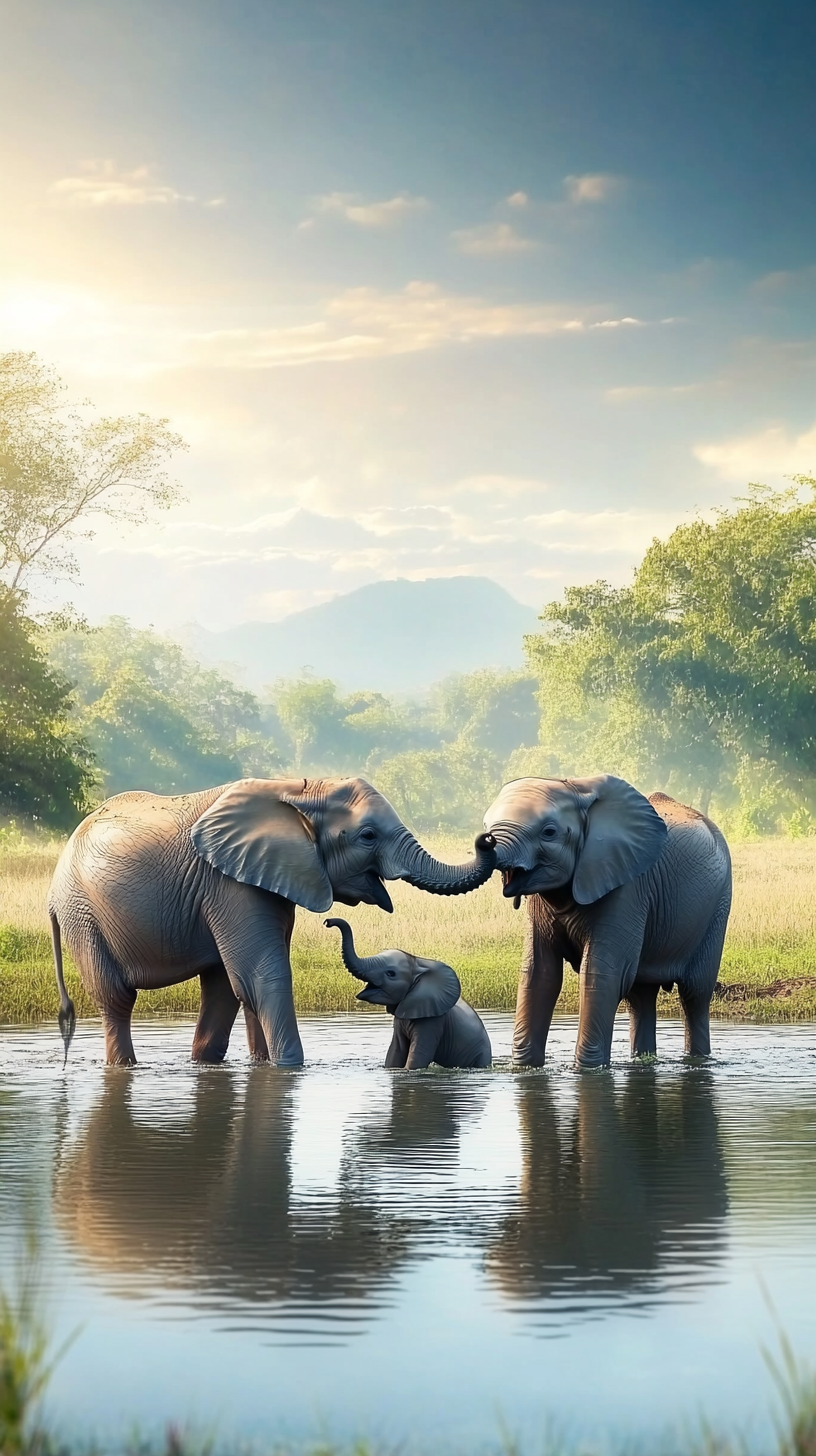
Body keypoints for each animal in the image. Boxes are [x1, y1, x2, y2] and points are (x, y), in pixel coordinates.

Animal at [323, 920, 489, 1071]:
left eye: (391, 974)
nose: (327, 922)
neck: (417, 961)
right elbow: (396, 1050)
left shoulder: (433, 1021)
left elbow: (418, 1055)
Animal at [480, 774, 737, 1071]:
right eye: (485, 826)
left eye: (549, 832)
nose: (484, 840)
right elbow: (539, 974)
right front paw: (525, 1069)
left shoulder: (627, 887)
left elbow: (601, 975)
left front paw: (588, 1072)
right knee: (641, 995)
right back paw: (643, 1061)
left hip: (718, 906)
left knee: (695, 993)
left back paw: (698, 1061)